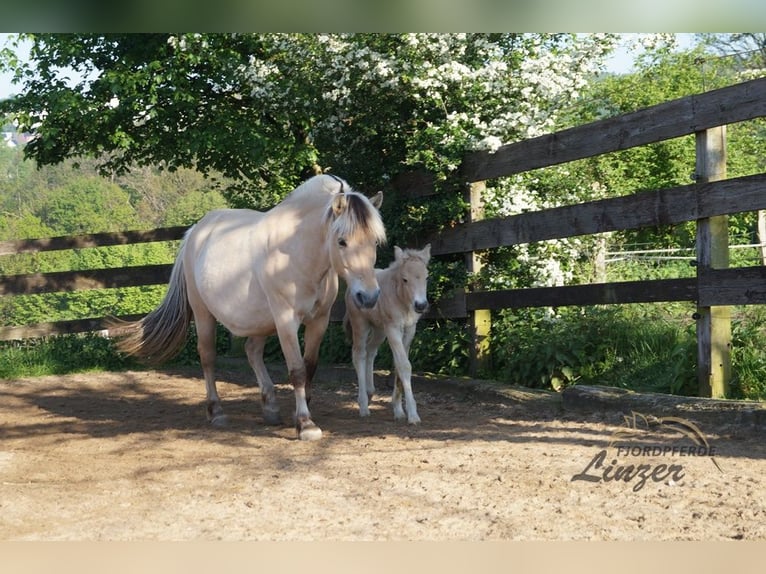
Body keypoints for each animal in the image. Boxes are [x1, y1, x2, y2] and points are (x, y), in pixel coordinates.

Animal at [111, 174, 388, 440]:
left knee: (252, 351)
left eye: (374, 241)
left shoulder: (319, 320)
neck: (296, 249)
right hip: (203, 313)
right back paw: (217, 412)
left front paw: (300, 413)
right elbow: (297, 370)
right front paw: (305, 424)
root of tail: (195, 233)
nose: (369, 296)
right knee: (208, 357)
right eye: (342, 241)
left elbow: (309, 367)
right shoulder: (286, 320)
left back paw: (270, 407)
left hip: (258, 320)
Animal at [344, 245, 432, 426]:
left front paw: (398, 410)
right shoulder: (393, 329)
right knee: (359, 354)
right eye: (405, 279)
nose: (420, 305)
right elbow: (404, 366)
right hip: (361, 325)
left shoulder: (409, 329)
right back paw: (363, 406)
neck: (401, 298)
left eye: (426, 277)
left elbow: (398, 365)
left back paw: (370, 391)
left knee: (371, 351)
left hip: (379, 330)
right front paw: (413, 415)